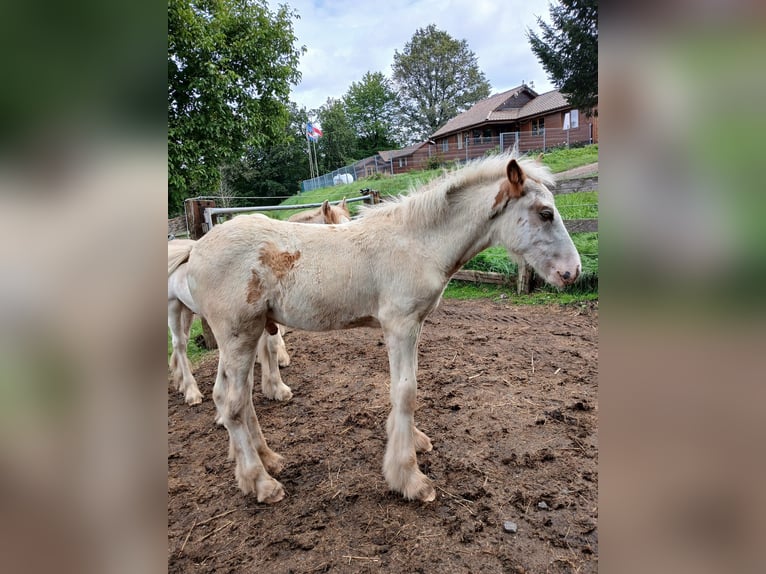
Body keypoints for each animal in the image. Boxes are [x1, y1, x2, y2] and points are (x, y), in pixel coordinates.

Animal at [168, 200, 352, 408]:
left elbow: (270, 345)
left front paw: (276, 387)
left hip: (186, 311)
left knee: (182, 342)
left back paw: (181, 383)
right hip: (173, 306)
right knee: (179, 344)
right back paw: (192, 392)